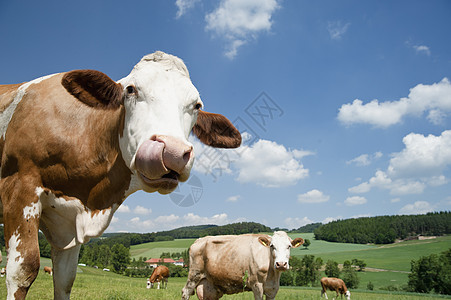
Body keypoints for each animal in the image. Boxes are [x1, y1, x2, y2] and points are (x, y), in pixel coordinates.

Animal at [0, 50, 244, 298]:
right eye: (130, 89)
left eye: (197, 105)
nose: (172, 152)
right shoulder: (20, 188)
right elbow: (23, 270)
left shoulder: (68, 225)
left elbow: (65, 280)